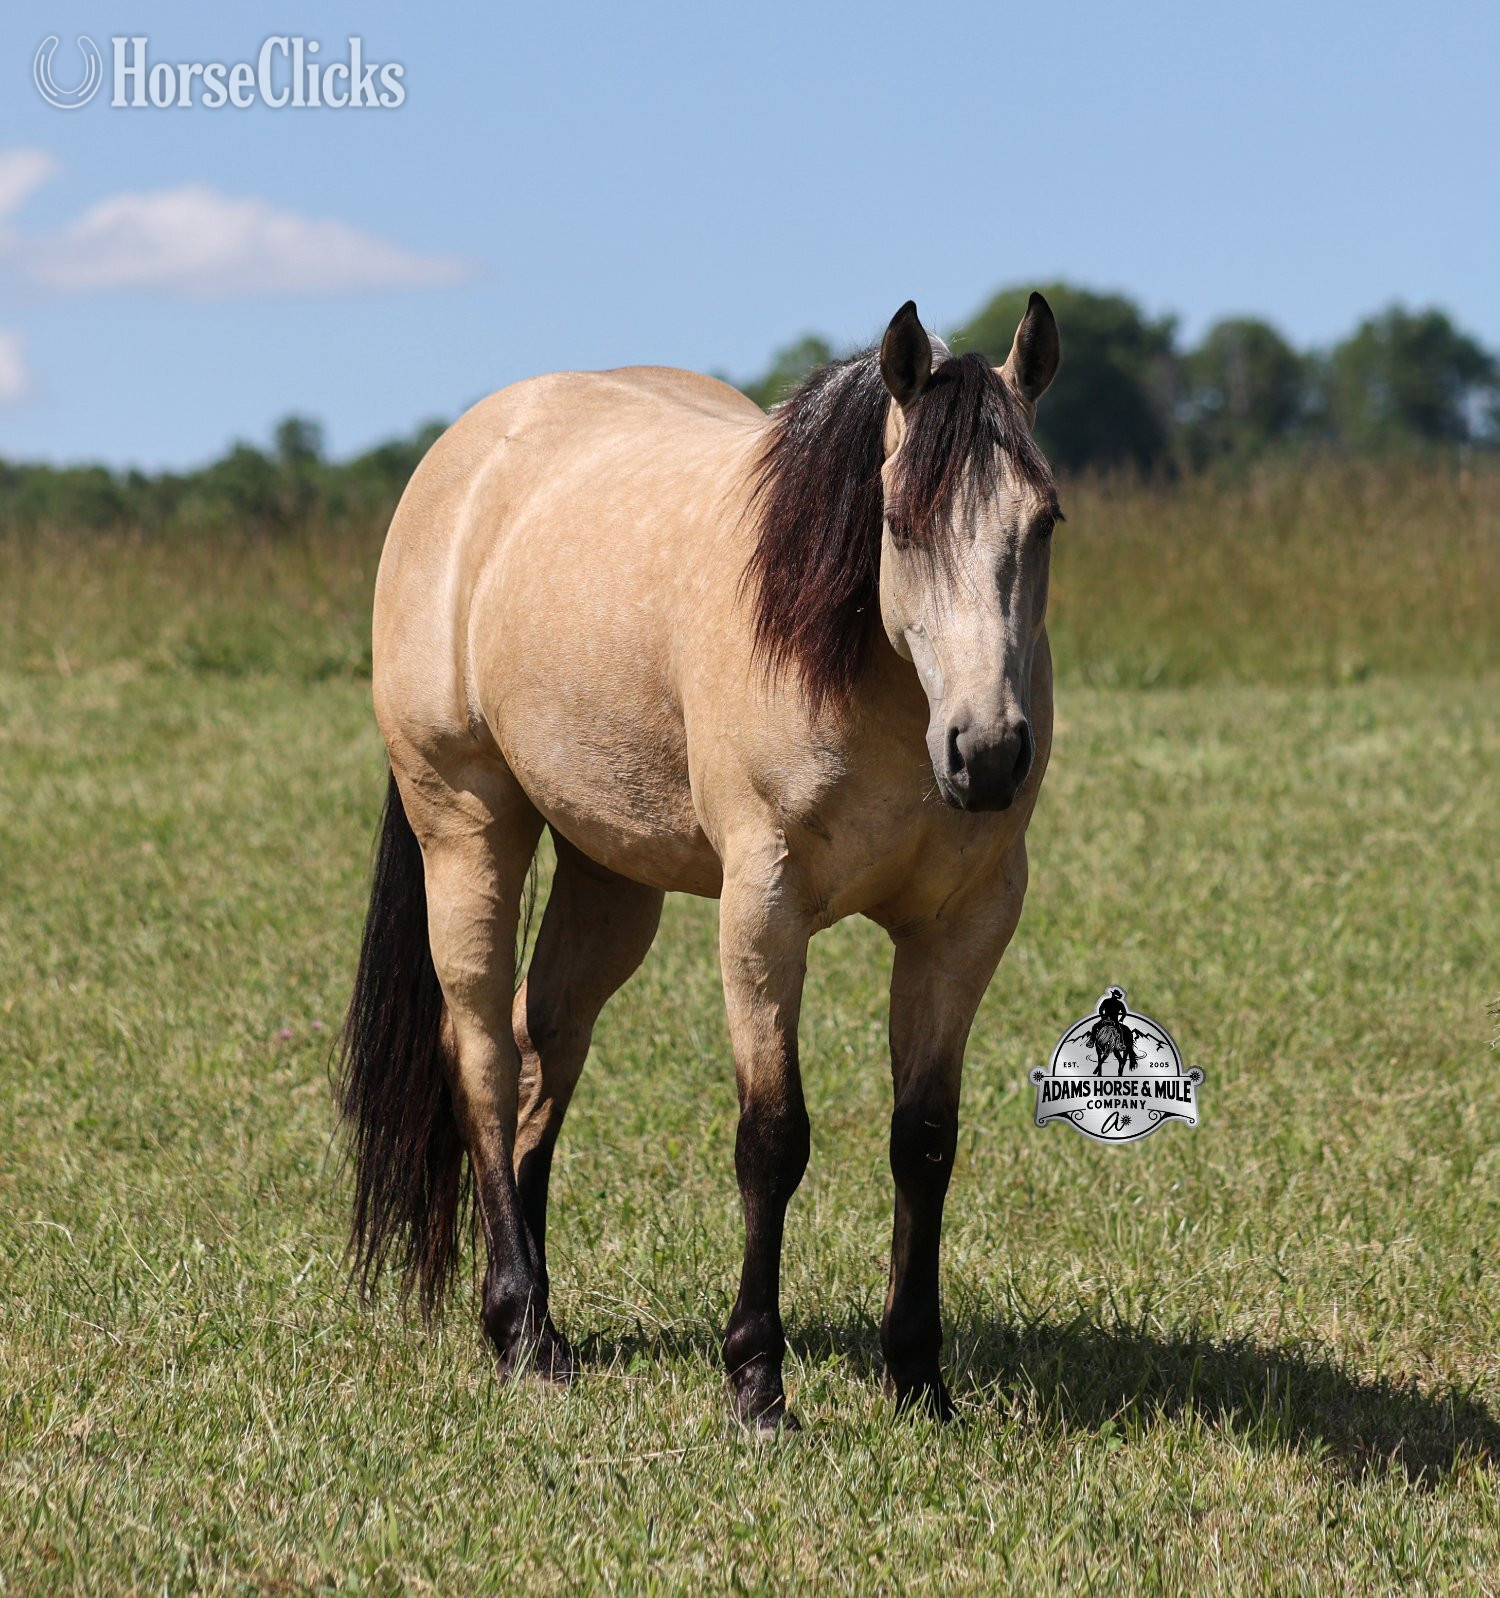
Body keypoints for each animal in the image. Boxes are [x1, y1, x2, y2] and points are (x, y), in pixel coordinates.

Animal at [339, 294, 1063, 1429]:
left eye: (1045, 521)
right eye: (899, 521)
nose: (986, 753)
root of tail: (468, 455)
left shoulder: (963, 926)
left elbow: (924, 1141)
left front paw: (917, 1377)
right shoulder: (761, 911)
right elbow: (773, 1139)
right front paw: (757, 1380)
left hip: (609, 877)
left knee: (545, 1046)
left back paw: (537, 1305)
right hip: (463, 828)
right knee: (484, 1057)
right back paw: (520, 1331)